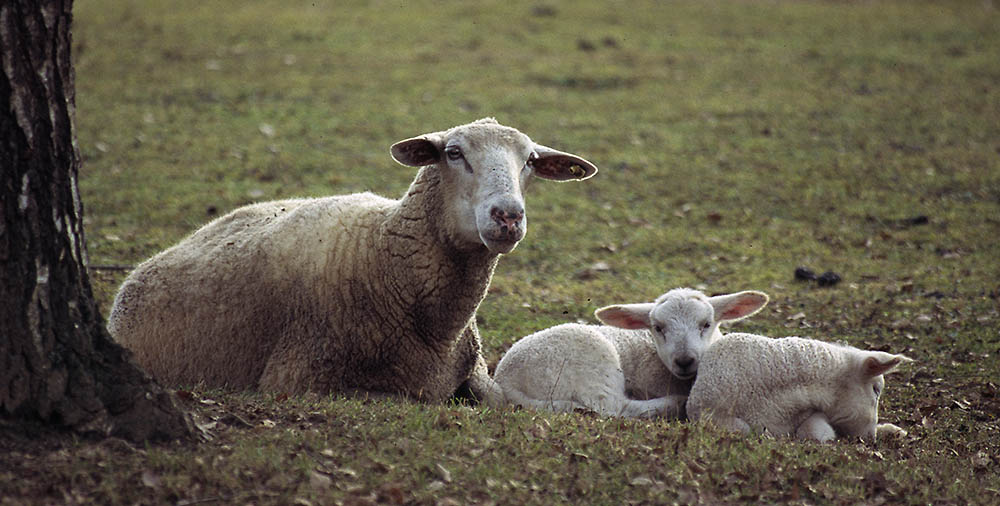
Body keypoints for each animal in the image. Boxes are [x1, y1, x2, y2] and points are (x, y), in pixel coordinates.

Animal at [488, 288, 768, 420]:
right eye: (658, 328)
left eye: (706, 324)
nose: (685, 360)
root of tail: (505, 380)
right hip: (591, 364)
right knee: (614, 408)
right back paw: (674, 403)